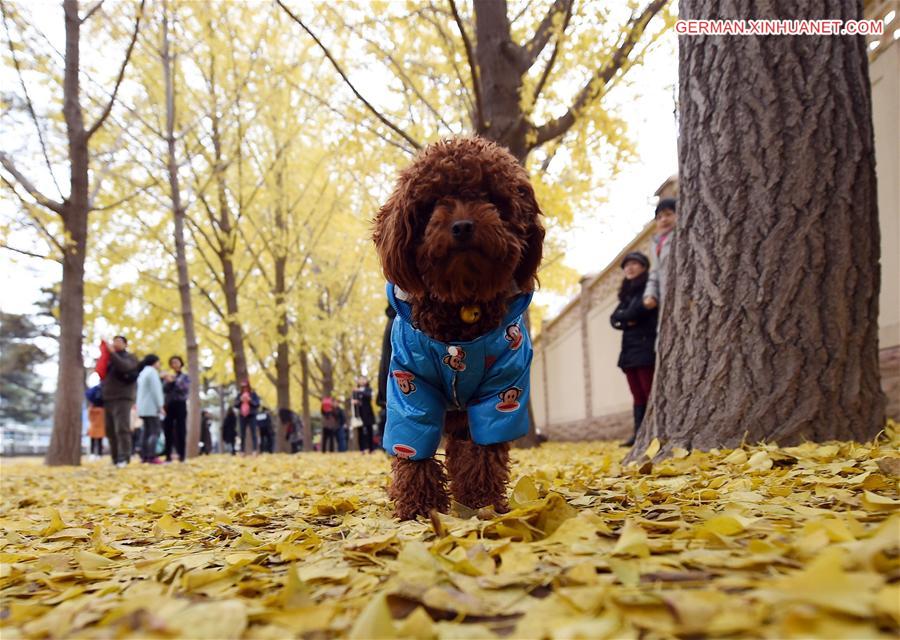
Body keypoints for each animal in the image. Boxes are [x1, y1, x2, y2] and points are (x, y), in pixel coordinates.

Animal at [370, 136, 540, 520]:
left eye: (491, 197)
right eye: (433, 200)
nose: (462, 225)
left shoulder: (502, 391)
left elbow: (484, 452)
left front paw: (481, 504)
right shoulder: (409, 386)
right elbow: (412, 447)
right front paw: (418, 509)